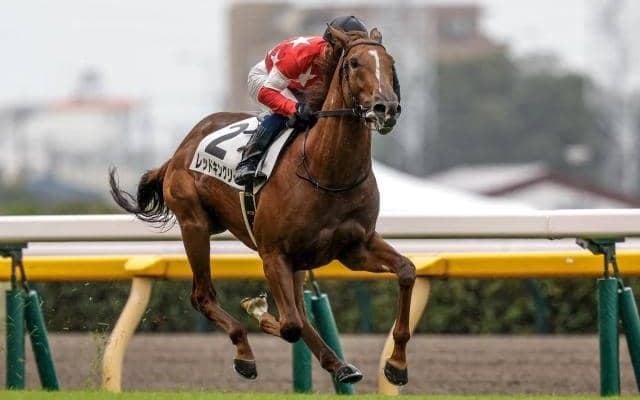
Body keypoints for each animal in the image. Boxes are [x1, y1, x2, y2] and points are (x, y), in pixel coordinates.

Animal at [109, 26, 414, 386]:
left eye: (390, 63)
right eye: (353, 63)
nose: (385, 108)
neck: (325, 171)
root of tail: (180, 150)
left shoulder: (355, 247)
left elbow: (406, 271)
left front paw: (397, 364)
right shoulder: (273, 254)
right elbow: (289, 324)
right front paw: (258, 311)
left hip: (290, 258)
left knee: (297, 312)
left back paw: (340, 365)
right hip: (195, 224)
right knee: (204, 296)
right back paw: (245, 352)